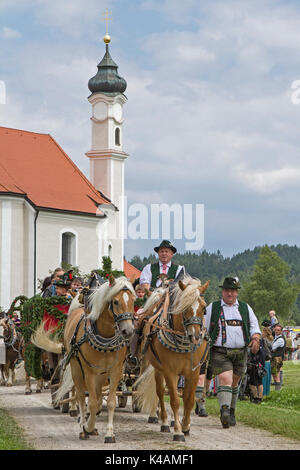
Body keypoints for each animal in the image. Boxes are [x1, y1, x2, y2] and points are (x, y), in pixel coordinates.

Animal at [31, 274, 135, 442]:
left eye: (133, 300)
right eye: (115, 301)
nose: (128, 330)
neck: (105, 335)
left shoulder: (115, 370)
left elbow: (109, 402)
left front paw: (109, 433)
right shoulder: (89, 372)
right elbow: (90, 403)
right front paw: (87, 426)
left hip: (101, 375)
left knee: (97, 396)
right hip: (76, 368)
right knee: (79, 395)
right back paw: (82, 425)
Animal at [135, 274, 210, 442]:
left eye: (204, 308)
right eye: (184, 307)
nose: (195, 337)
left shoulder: (194, 372)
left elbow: (188, 400)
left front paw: (186, 426)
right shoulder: (169, 371)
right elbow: (175, 400)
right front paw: (178, 431)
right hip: (157, 369)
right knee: (161, 392)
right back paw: (163, 421)